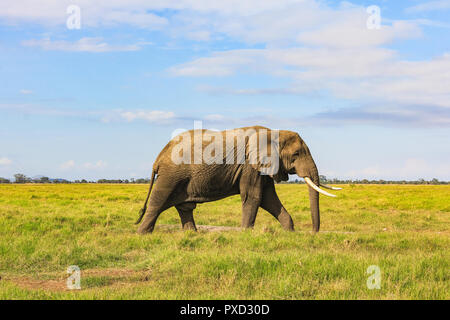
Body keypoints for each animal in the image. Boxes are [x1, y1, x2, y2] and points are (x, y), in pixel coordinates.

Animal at [135, 126, 340, 234]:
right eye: (296, 154)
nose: (313, 233)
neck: (274, 132)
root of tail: (159, 157)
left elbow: (269, 199)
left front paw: (289, 233)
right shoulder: (250, 165)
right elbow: (254, 197)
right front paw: (246, 234)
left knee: (184, 208)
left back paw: (192, 235)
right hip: (171, 175)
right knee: (157, 203)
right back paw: (143, 235)